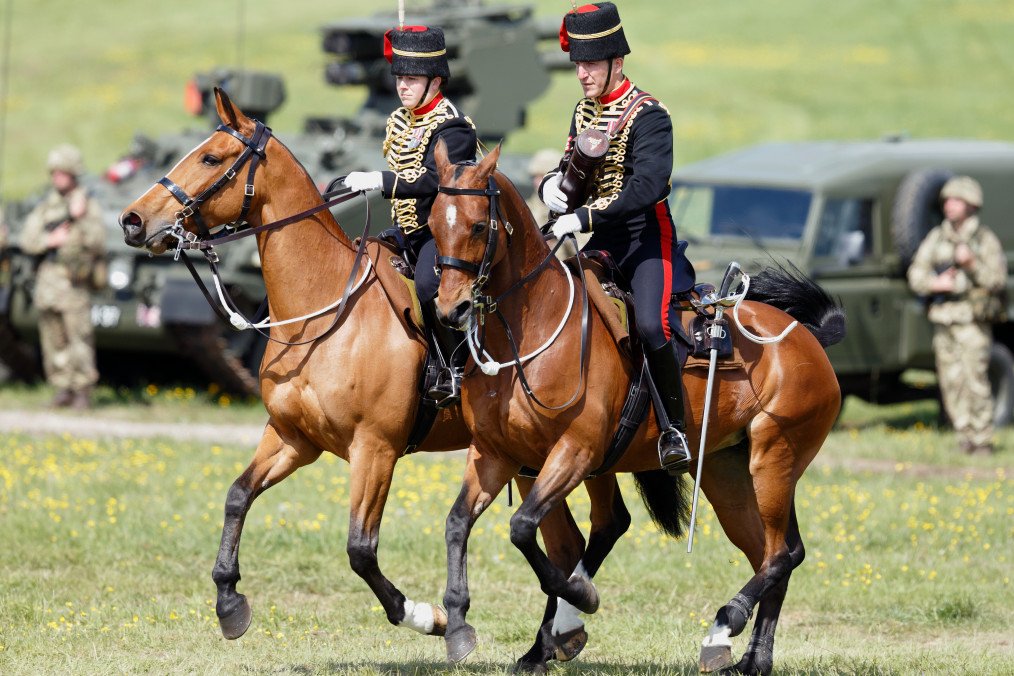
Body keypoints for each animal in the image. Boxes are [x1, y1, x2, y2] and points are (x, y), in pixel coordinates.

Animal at [117, 88, 642, 672]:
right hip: (529, 458)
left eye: (210, 157)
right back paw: (556, 638)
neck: (322, 311)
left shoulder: (375, 448)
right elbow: (236, 496)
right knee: (569, 539)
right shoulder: (293, 439)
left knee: (590, 530)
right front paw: (230, 602)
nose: (132, 220)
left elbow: (360, 550)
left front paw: (430, 617)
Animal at [426, 141, 846, 675]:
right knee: (776, 554)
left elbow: (522, 529)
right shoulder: (495, 455)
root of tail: (807, 339)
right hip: (728, 475)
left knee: (779, 556)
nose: (451, 311)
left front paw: (578, 601)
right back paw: (750, 658)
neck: (531, 329)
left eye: (479, 226)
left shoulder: (576, 453)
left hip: (774, 461)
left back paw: (722, 624)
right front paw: (458, 623)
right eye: (433, 222)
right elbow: (458, 523)